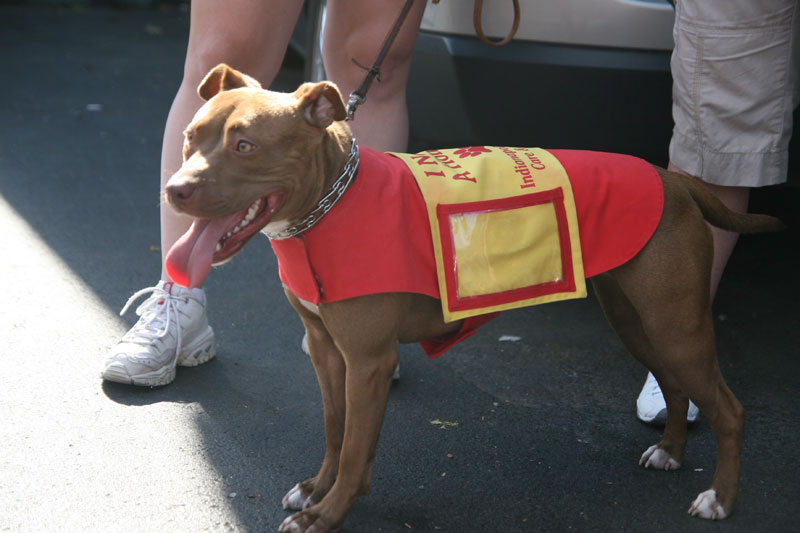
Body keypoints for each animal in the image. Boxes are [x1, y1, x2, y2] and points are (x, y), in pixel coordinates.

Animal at [162, 64, 780, 528]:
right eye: (191, 139)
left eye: (245, 145)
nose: (175, 189)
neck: (329, 206)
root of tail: (671, 177)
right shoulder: (325, 349)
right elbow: (336, 429)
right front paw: (317, 488)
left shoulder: (368, 361)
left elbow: (357, 447)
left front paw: (328, 513)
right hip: (638, 320)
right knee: (675, 387)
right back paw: (671, 452)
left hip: (677, 327)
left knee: (729, 409)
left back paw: (720, 499)